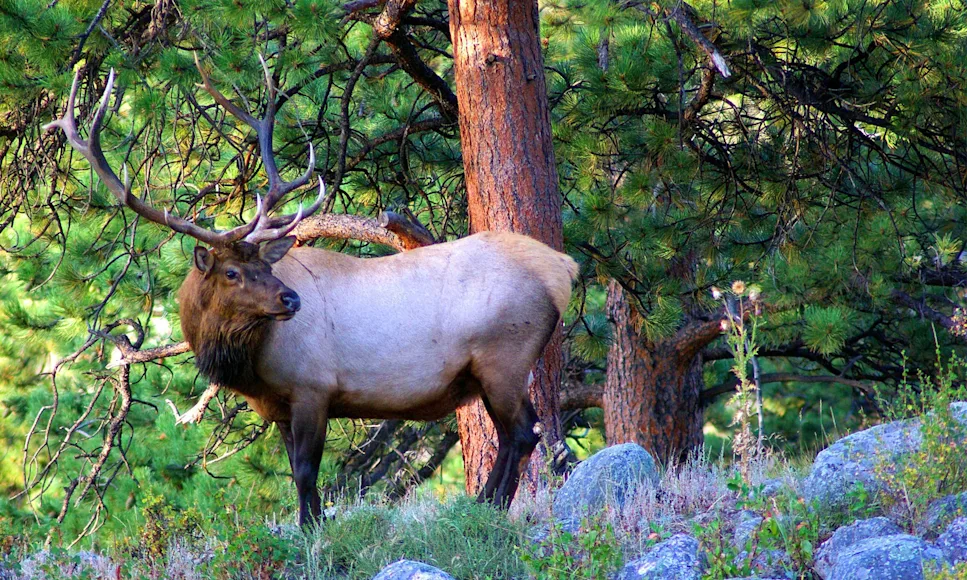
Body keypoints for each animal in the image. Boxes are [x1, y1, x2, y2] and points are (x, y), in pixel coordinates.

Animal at [46, 61, 579, 526]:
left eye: (264, 265)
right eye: (234, 272)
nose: (292, 300)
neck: (251, 364)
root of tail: (563, 269)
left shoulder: (313, 387)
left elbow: (306, 471)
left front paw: (311, 532)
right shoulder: (279, 406)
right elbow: (294, 472)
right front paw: (313, 524)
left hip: (503, 355)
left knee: (521, 434)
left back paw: (490, 508)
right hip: (493, 368)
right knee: (519, 435)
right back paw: (484, 505)